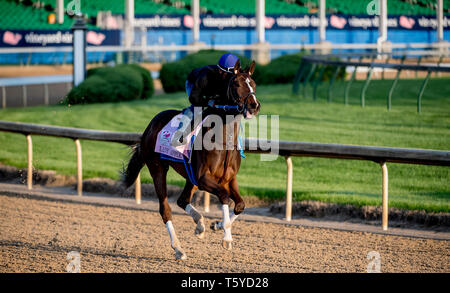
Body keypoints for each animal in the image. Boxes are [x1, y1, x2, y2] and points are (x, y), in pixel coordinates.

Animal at [122, 60, 260, 260]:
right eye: (236, 84)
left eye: (253, 84)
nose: (254, 105)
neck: (222, 140)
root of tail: (150, 127)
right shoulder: (203, 178)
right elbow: (224, 197)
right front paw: (226, 237)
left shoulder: (229, 178)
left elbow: (240, 205)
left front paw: (217, 225)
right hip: (157, 168)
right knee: (165, 209)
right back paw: (178, 248)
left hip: (190, 177)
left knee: (182, 200)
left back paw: (200, 225)